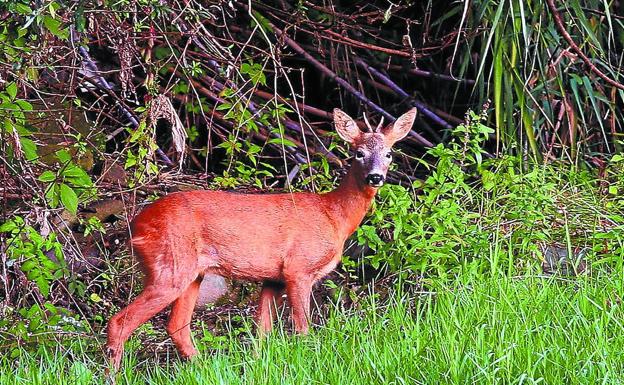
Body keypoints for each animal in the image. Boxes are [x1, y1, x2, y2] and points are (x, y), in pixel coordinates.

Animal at [106, 106, 416, 368]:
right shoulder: (298, 268)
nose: (375, 177)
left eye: (389, 153)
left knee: (176, 326)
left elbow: (262, 333)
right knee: (120, 322)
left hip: (191, 273)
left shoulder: (273, 278)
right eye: (358, 153)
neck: (333, 216)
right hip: (170, 266)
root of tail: (135, 226)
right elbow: (302, 328)